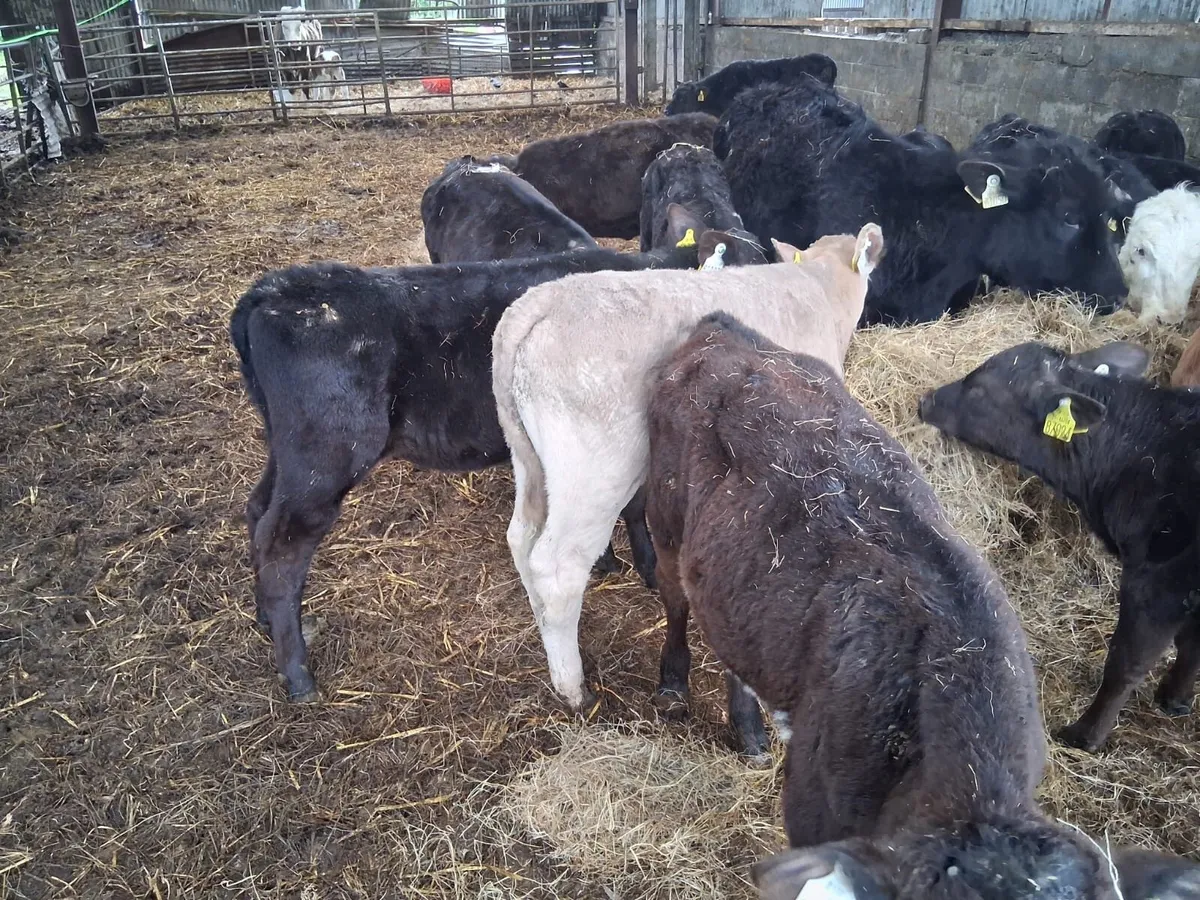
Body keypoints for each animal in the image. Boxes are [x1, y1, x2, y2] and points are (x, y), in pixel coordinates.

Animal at [231, 237, 731, 701]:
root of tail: (274, 289)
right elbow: (634, 505)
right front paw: (642, 567)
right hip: (326, 455)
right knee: (282, 545)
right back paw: (298, 675)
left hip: (289, 451)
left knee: (257, 510)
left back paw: (265, 617)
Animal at [491, 222, 883, 711]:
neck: (818, 288)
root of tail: (538, 305)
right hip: (593, 471)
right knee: (557, 566)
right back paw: (573, 687)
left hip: (529, 456)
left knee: (522, 538)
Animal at [917, 339, 1200, 752]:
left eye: (980, 389)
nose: (925, 400)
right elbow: (1192, 645)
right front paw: (1175, 699)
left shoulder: (1157, 585)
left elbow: (1125, 665)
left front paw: (1084, 735)